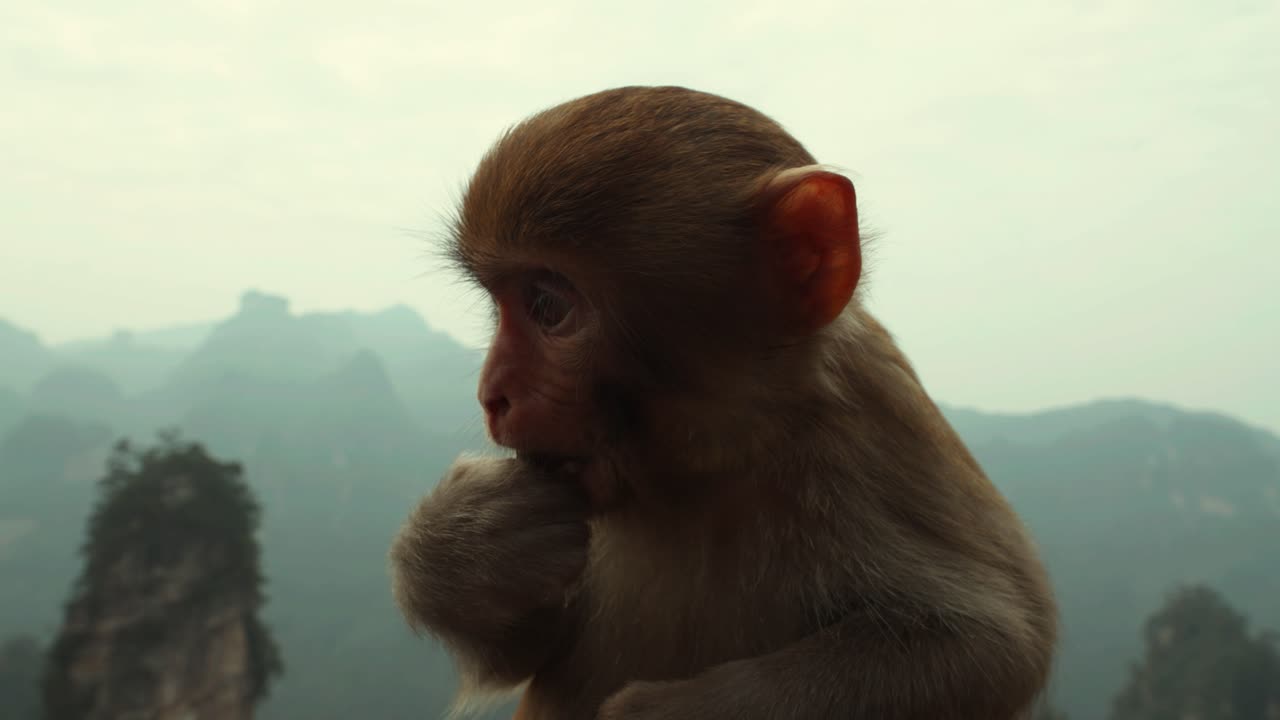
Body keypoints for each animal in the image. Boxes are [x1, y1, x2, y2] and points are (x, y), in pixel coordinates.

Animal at [390, 86, 1058, 720]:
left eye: (547, 306)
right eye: (497, 300)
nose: (491, 395)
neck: (703, 469)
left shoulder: (873, 433)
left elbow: (989, 643)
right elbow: (527, 646)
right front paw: (465, 544)